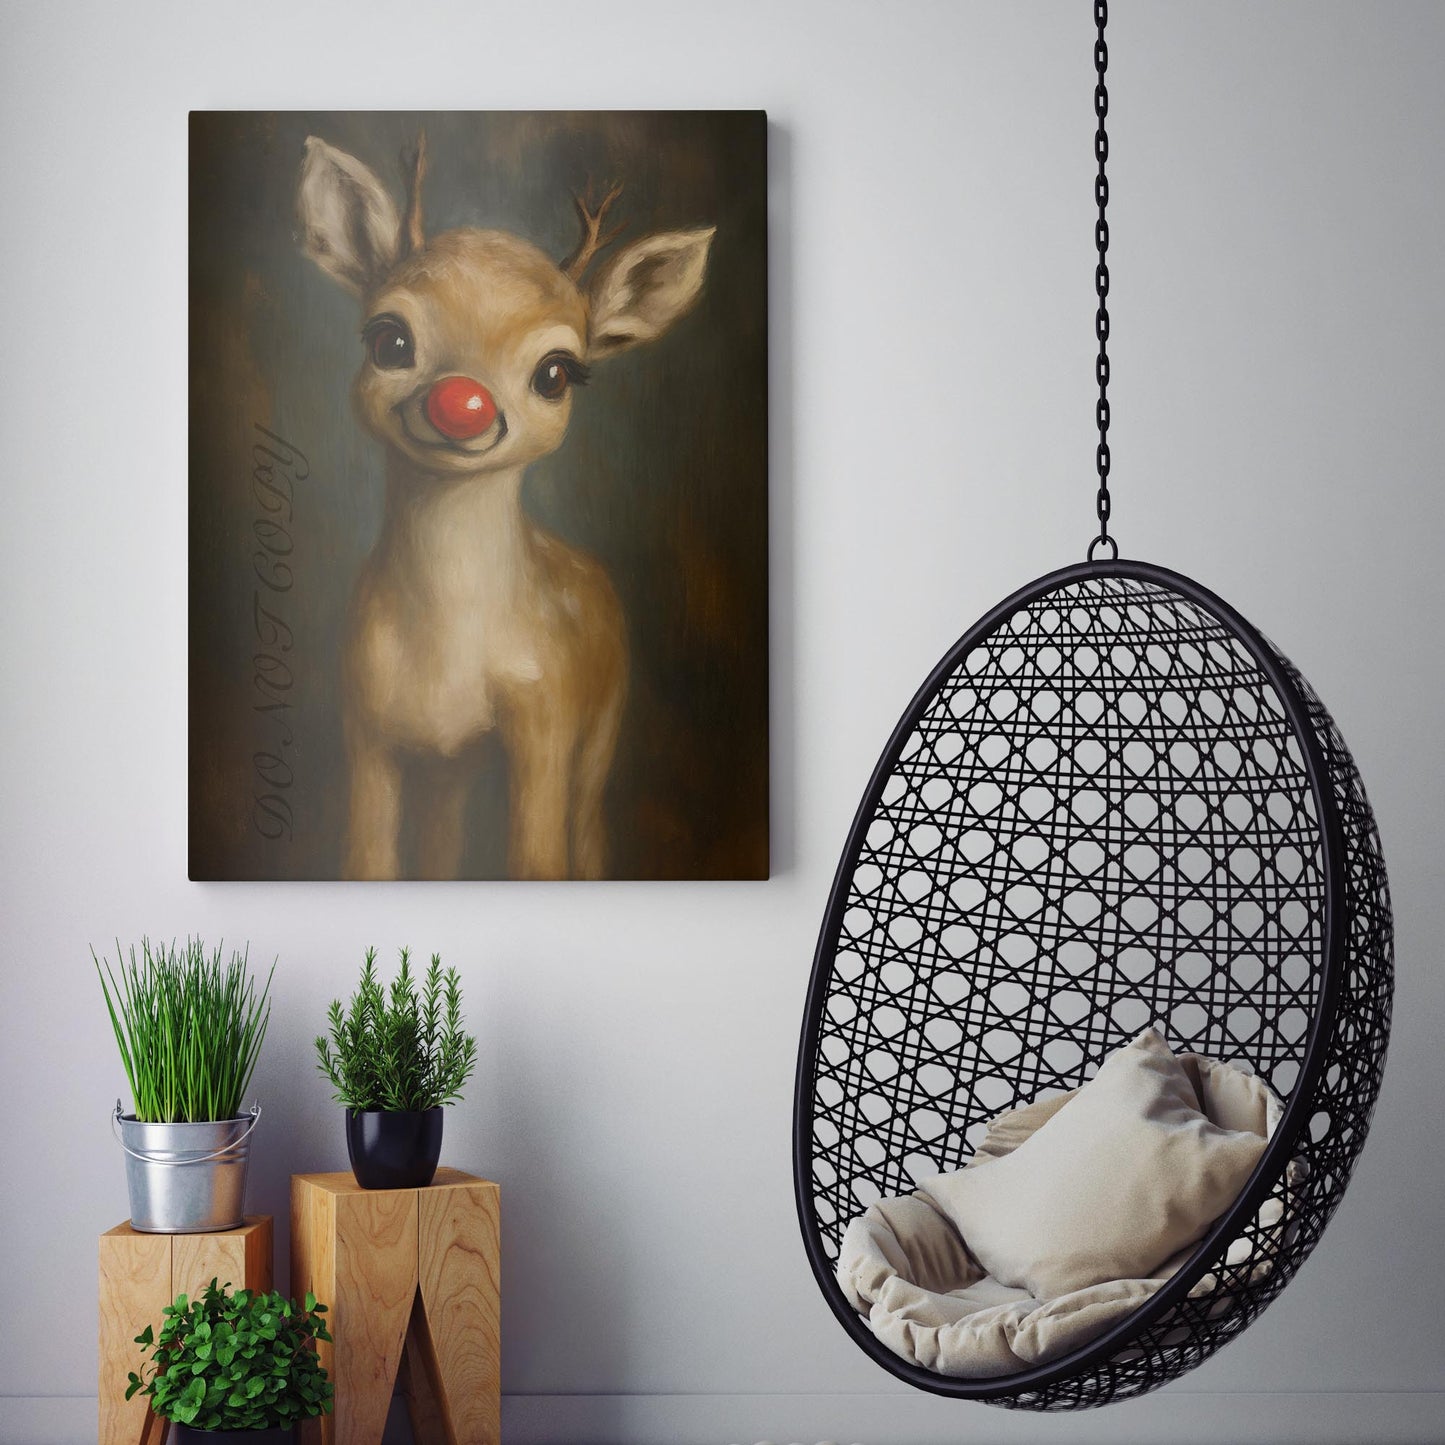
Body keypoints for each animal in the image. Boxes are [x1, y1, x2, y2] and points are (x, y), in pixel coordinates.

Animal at [296, 134, 714, 879]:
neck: (448, 643)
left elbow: (539, 861)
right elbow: (368, 860)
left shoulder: (545, 719)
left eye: (556, 373)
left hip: (603, 725)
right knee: (442, 847)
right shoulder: (366, 726)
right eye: (388, 339)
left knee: (588, 831)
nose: (461, 405)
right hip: (450, 766)